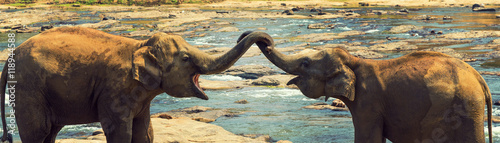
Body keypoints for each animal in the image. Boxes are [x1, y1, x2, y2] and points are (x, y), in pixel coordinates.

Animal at [0, 27, 274, 143]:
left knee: (51, 132)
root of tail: (9, 59)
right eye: (186, 58)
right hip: (28, 89)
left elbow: (144, 132)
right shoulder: (114, 91)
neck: (140, 44)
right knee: (38, 132)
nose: (267, 42)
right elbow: (120, 132)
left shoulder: (141, 99)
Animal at [240, 31, 494, 143]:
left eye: (305, 63)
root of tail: (480, 79)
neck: (354, 60)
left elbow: (367, 138)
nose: (266, 42)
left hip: (466, 107)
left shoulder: (368, 103)